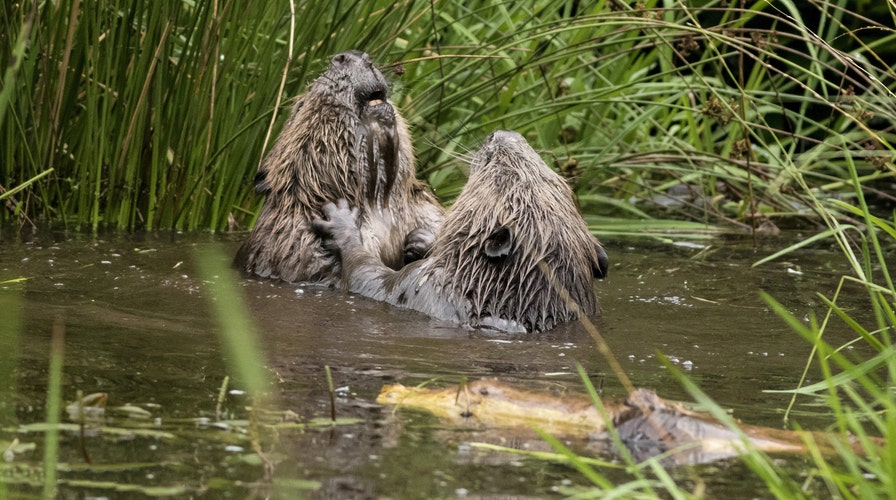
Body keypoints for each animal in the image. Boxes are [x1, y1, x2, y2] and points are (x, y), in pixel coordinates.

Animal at [316, 130, 608, 332]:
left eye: (503, 174)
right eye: (552, 177)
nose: (502, 134)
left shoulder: (417, 284)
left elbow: (366, 277)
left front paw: (340, 218)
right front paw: (420, 241)